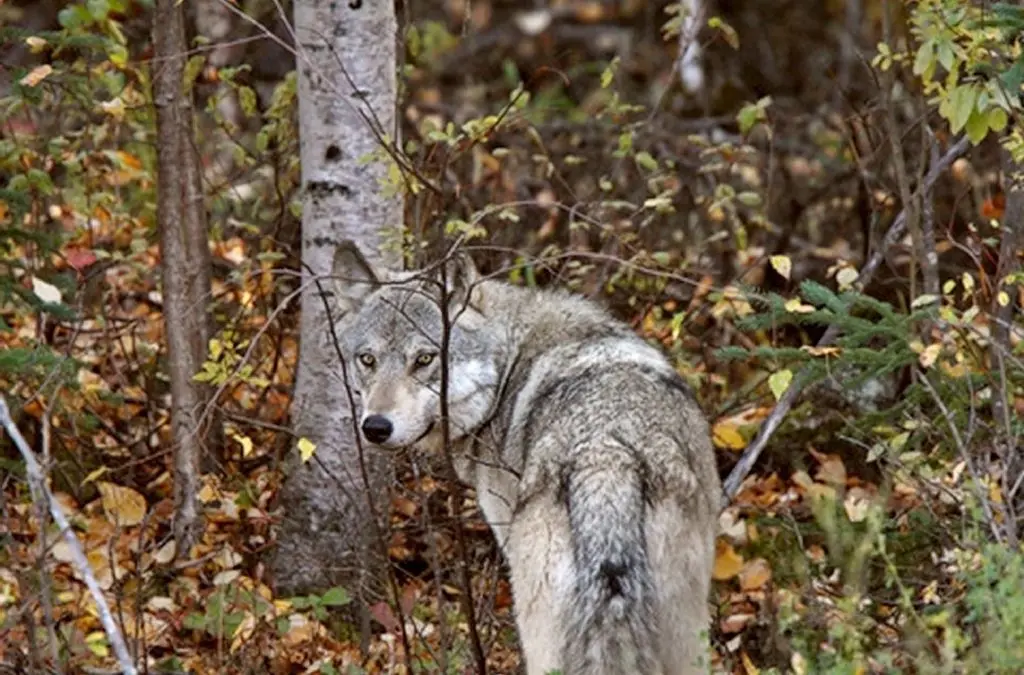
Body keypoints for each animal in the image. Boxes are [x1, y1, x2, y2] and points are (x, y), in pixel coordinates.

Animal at [331, 241, 720, 675]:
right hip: (687, 638)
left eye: (425, 359)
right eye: (367, 360)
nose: (375, 427)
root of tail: (606, 458)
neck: (507, 369)